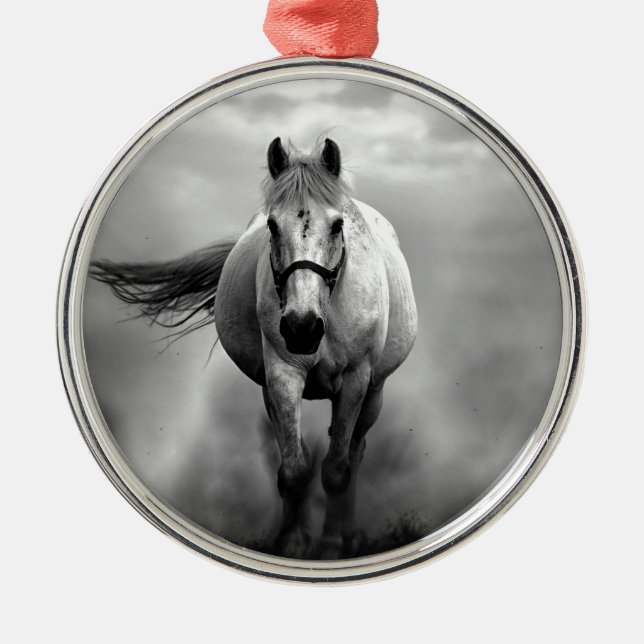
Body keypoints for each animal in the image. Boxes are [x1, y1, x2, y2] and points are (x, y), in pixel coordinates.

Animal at [91, 137, 418, 558]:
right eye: (273, 225)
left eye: (338, 224)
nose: (301, 328)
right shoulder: (281, 375)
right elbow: (294, 470)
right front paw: (292, 544)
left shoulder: (355, 380)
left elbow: (336, 471)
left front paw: (329, 548)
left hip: (374, 392)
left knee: (355, 453)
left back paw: (348, 536)